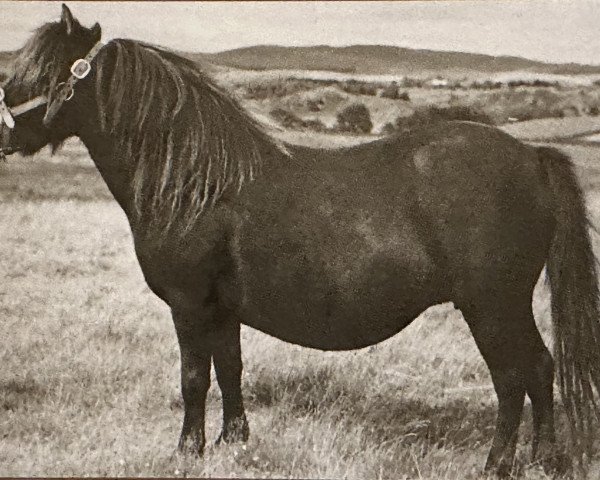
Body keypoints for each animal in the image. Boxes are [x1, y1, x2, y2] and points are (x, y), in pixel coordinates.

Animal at [3, 4, 600, 476]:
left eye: (40, 72)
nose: (4, 136)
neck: (193, 184)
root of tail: (531, 155)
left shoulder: (189, 304)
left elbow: (194, 378)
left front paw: (187, 452)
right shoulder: (222, 309)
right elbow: (230, 369)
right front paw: (235, 443)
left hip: (493, 305)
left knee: (517, 375)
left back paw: (502, 464)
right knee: (539, 370)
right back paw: (542, 460)